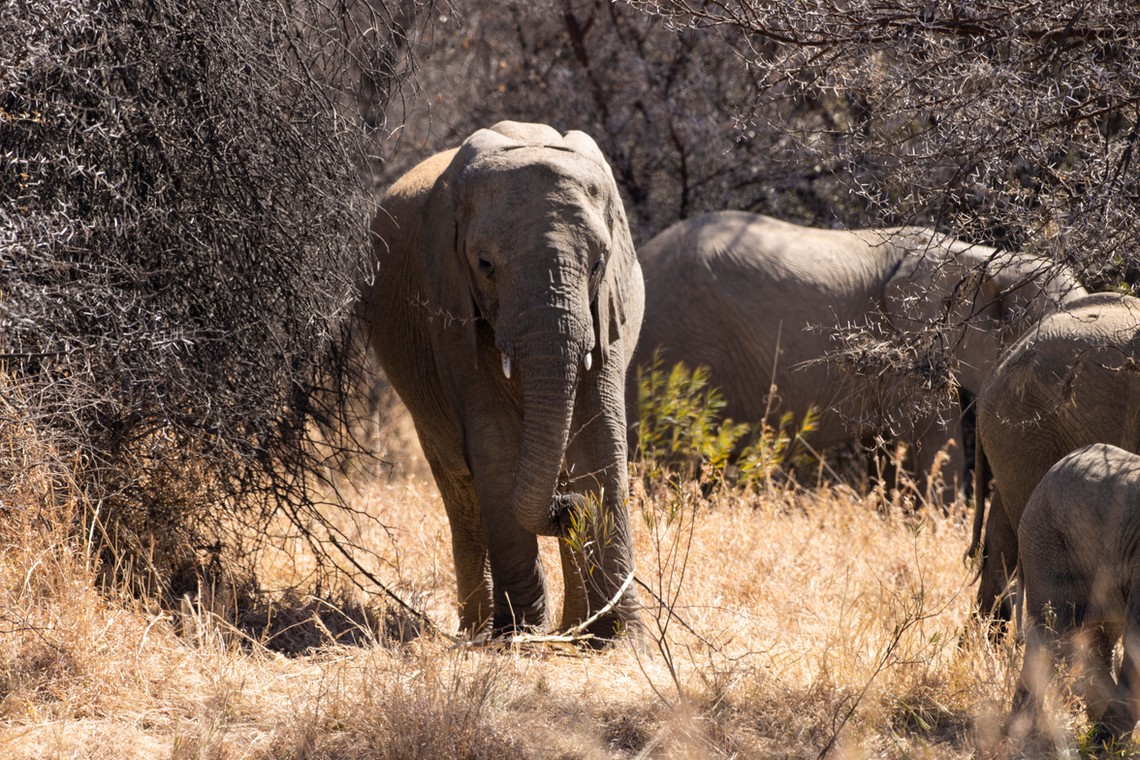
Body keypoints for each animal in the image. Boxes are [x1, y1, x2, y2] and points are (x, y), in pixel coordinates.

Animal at [367, 120, 647, 642]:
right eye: (484, 264)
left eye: (598, 263)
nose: (567, 508)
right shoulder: (451, 308)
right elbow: (495, 445)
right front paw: (521, 634)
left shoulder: (606, 312)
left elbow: (600, 439)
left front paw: (621, 637)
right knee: (460, 488)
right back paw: (482, 629)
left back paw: (573, 626)